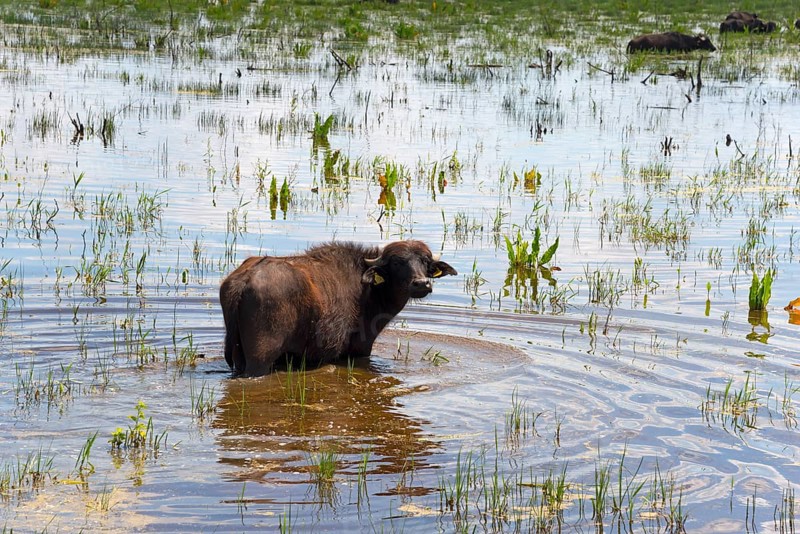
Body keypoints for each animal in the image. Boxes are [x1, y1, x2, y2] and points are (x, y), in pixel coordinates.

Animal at [219, 240, 457, 376]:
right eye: (397, 263)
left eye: (425, 262)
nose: (421, 284)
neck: (370, 289)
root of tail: (244, 280)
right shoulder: (361, 348)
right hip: (259, 359)